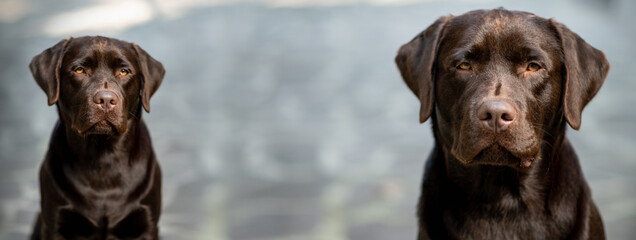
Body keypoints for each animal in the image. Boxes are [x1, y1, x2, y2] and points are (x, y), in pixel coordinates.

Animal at [30, 36, 165, 240]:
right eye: (79, 69)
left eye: (124, 71)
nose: (106, 100)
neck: (103, 157)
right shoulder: (55, 224)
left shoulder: (147, 224)